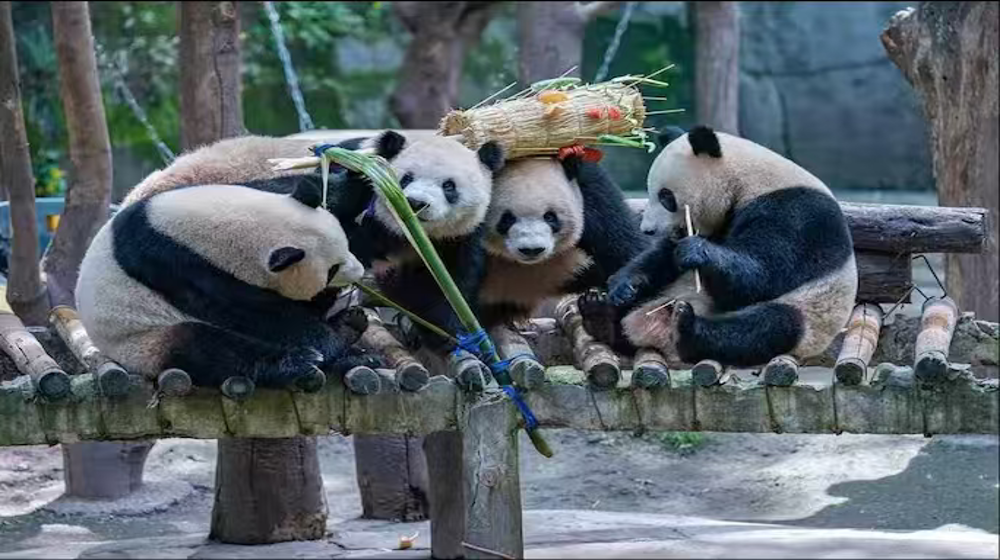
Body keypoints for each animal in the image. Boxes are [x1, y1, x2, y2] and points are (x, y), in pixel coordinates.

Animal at [75, 180, 371, 390]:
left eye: (346, 245)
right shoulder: (175, 266)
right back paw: (299, 361)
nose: (359, 271)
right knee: (206, 347)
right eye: (332, 270)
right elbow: (261, 314)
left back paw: (349, 325)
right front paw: (334, 346)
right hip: (142, 341)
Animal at [579, 125, 857, 367]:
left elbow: (760, 279)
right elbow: (662, 258)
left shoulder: (795, 214)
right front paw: (623, 285)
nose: (648, 230)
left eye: (665, 196)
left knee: (765, 328)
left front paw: (695, 251)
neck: (747, 180)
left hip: (810, 316)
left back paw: (687, 329)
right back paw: (600, 315)